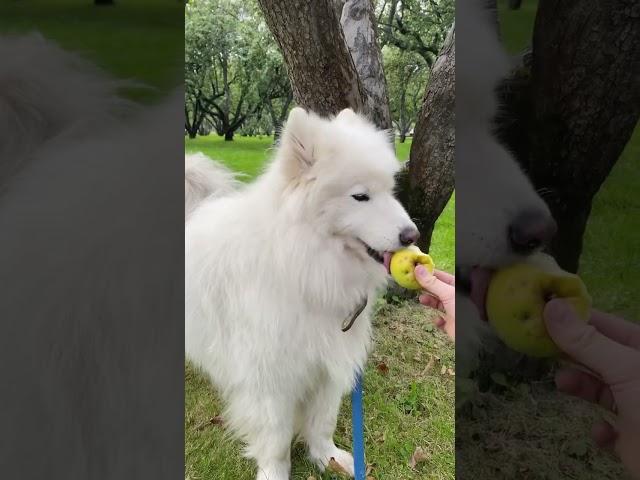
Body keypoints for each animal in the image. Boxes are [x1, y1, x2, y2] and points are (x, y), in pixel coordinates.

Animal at [184, 108, 420, 480]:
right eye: (360, 196)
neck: (303, 269)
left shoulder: (328, 367)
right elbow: (277, 439)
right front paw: (275, 473)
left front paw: (329, 459)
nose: (413, 235)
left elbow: (322, 422)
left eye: (390, 191)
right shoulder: (270, 379)